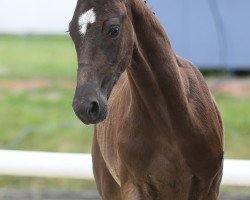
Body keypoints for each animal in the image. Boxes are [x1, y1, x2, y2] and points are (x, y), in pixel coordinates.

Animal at [69, 0, 225, 198]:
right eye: (71, 32)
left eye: (114, 29)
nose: (85, 106)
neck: (171, 124)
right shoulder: (134, 186)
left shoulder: (208, 188)